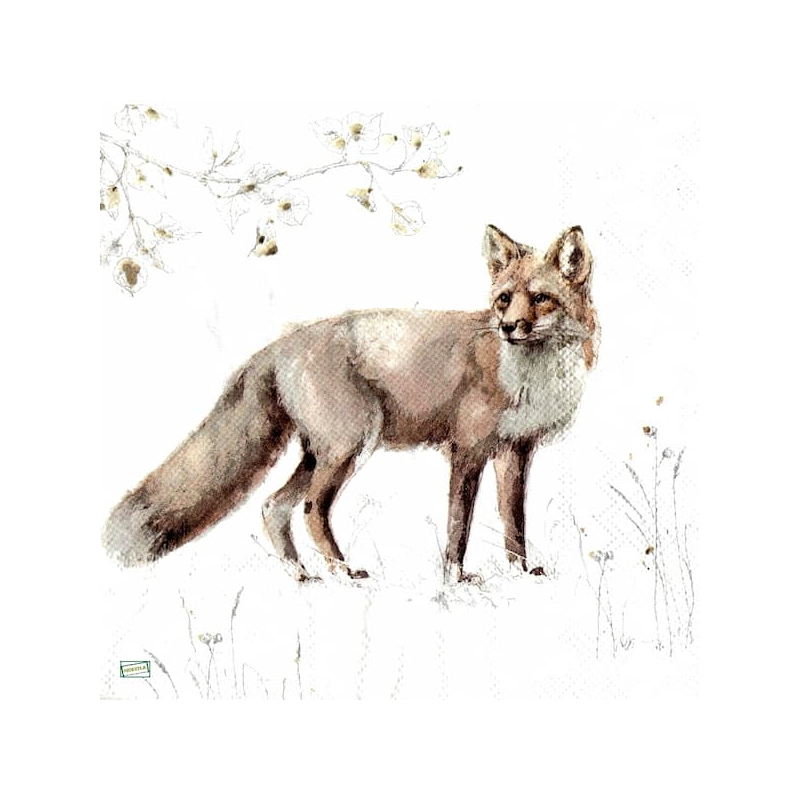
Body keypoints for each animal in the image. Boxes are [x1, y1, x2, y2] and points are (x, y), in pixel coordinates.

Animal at [104, 224, 599, 583]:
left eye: (540, 298)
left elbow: (515, 522)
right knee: (310, 510)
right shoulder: (467, 451)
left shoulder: (516, 450)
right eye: (503, 299)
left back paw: (302, 577)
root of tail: (281, 343)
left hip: (319, 453)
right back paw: (343, 571)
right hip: (349, 447)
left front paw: (523, 574)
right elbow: (459, 527)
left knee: (273, 506)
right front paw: (455, 580)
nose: (508, 328)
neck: (531, 376)